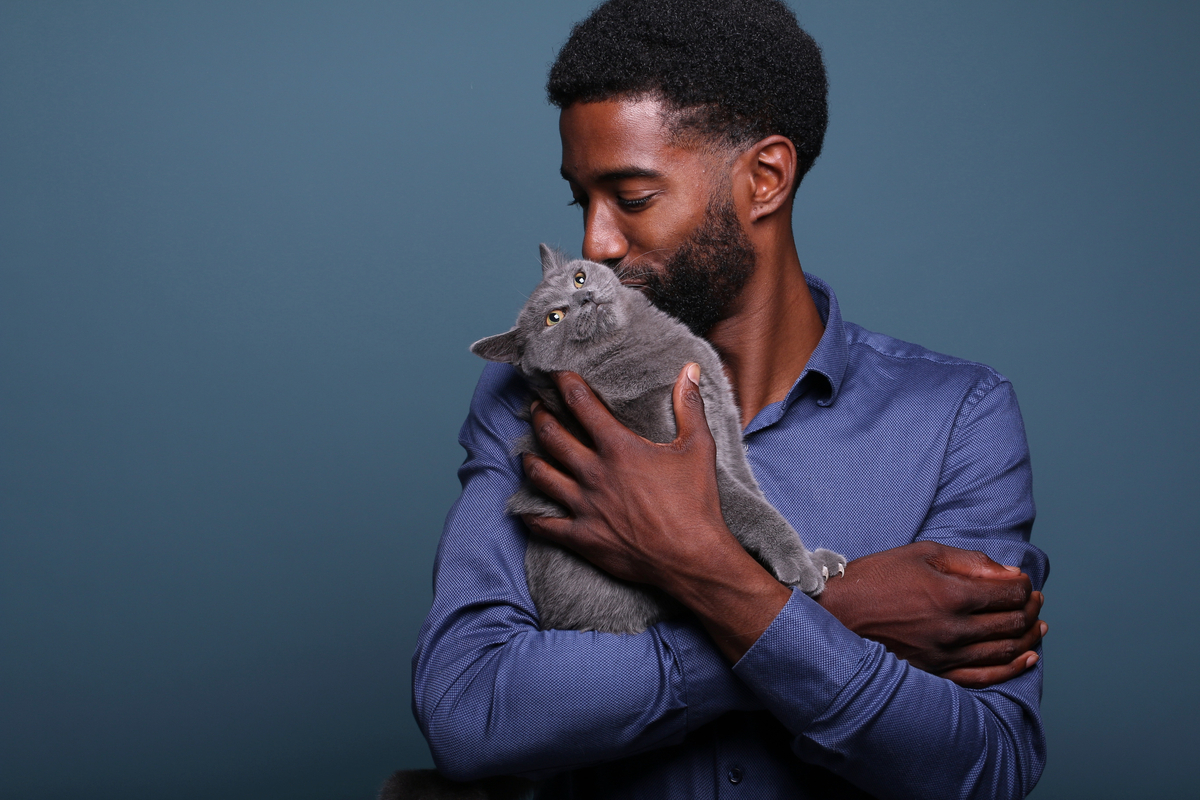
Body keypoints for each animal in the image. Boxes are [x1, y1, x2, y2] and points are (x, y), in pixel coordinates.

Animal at [468, 244, 844, 633]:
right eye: (553, 318)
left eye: (579, 278)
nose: (585, 297)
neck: (641, 347)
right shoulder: (676, 449)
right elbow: (750, 507)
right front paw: (798, 564)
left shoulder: (726, 427)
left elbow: (753, 490)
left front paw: (813, 560)